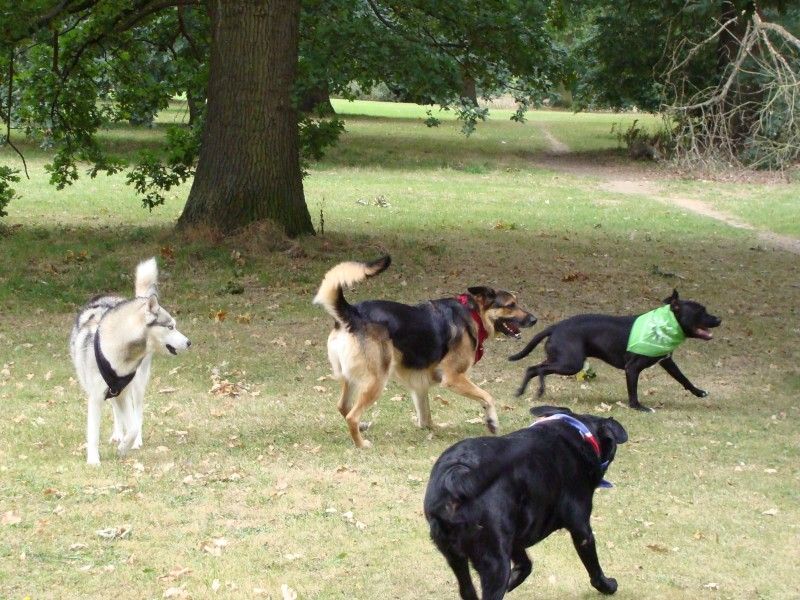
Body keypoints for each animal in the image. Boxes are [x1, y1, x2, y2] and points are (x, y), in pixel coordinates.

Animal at [69, 256, 191, 464]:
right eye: (171, 327)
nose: (189, 342)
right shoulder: (97, 396)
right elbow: (93, 433)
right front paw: (94, 460)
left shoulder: (124, 392)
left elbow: (133, 426)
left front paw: (125, 447)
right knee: (117, 412)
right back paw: (118, 434)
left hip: (138, 385)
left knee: (137, 413)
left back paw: (134, 440)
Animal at [312, 255, 536, 448]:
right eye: (511, 305)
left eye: (516, 303)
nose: (534, 320)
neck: (473, 314)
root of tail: (352, 313)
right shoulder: (453, 378)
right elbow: (487, 396)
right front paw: (492, 422)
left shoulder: (419, 385)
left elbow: (426, 418)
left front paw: (436, 428)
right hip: (376, 380)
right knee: (352, 415)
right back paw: (361, 444)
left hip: (350, 378)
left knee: (343, 406)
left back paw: (362, 427)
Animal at [424, 406, 624, 596]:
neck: (577, 430)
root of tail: (456, 475)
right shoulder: (581, 530)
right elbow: (594, 569)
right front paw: (608, 585)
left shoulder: (513, 537)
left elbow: (525, 564)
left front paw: (514, 580)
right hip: (495, 563)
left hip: (455, 555)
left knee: (466, 590)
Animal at [510, 290, 720, 412]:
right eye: (700, 311)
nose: (719, 319)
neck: (665, 323)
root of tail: (555, 327)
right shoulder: (632, 369)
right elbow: (633, 392)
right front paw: (638, 407)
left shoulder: (667, 361)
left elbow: (684, 379)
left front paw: (698, 392)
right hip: (570, 364)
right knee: (539, 370)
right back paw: (539, 390)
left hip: (560, 360)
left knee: (533, 368)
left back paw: (523, 391)